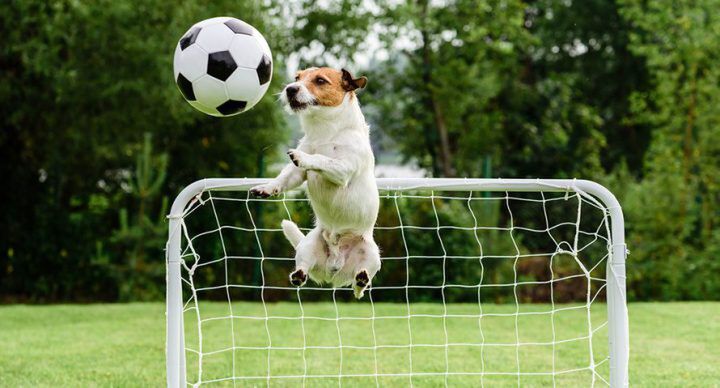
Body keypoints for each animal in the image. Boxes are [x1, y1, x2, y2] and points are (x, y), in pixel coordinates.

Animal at [249, 66, 380, 298]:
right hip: (307, 246)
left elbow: (321, 159)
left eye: (320, 80)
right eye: (297, 77)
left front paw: (303, 157)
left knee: (360, 286)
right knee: (304, 266)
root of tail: (334, 271)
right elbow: (283, 178)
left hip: (373, 255)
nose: (290, 89)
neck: (325, 132)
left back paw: (361, 280)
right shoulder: (296, 174)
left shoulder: (342, 169)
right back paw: (299, 275)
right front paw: (267, 188)